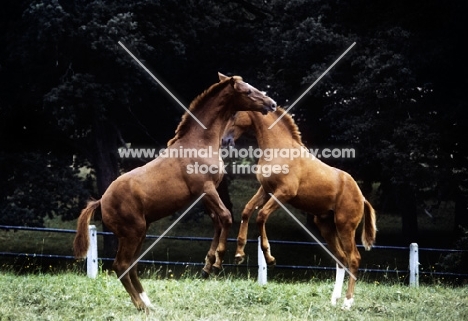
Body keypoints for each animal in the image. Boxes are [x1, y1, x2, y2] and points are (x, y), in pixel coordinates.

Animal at [73, 73, 276, 310]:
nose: (271, 104)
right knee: (121, 265)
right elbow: (226, 217)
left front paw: (208, 264)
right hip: (132, 234)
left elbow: (218, 222)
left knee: (131, 265)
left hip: (140, 233)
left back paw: (148, 303)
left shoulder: (204, 195)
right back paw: (142, 306)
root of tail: (101, 201)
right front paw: (220, 261)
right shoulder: (206, 189)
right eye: (247, 91)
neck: (199, 143)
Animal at [221, 109, 378, 308]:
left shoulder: (284, 193)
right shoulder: (265, 190)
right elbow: (247, 211)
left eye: (235, 114)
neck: (279, 149)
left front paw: (270, 257)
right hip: (326, 227)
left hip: (345, 227)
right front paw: (239, 253)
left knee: (354, 258)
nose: (225, 140)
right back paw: (334, 300)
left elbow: (261, 215)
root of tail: (362, 197)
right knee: (341, 258)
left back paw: (347, 302)